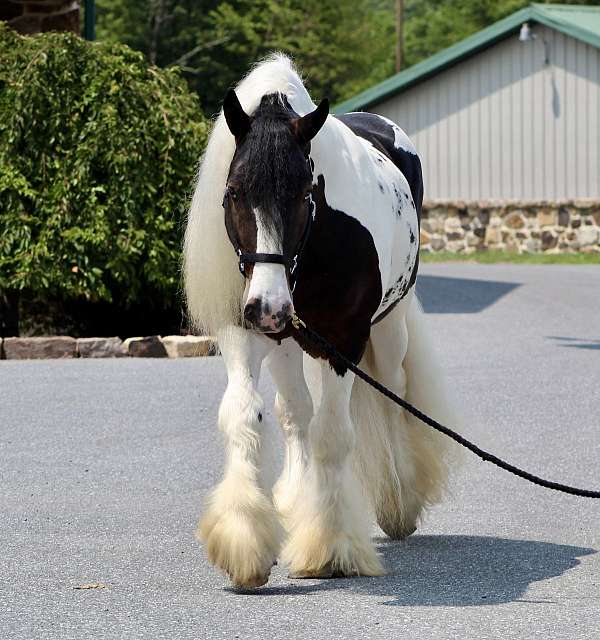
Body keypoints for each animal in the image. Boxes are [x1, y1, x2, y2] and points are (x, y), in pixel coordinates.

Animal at [185, 55, 458, 592]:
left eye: (303, 192)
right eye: (234, 192)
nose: (268, 306)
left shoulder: (343, 341)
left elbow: (333, 433)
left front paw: (330, 547)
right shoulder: (244, 333)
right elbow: (245, 415)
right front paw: (245, 540)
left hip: (388, 327)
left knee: (392, 395)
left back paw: (398, 500)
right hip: (289, 340)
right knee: (295, 412)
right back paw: (294, 501)